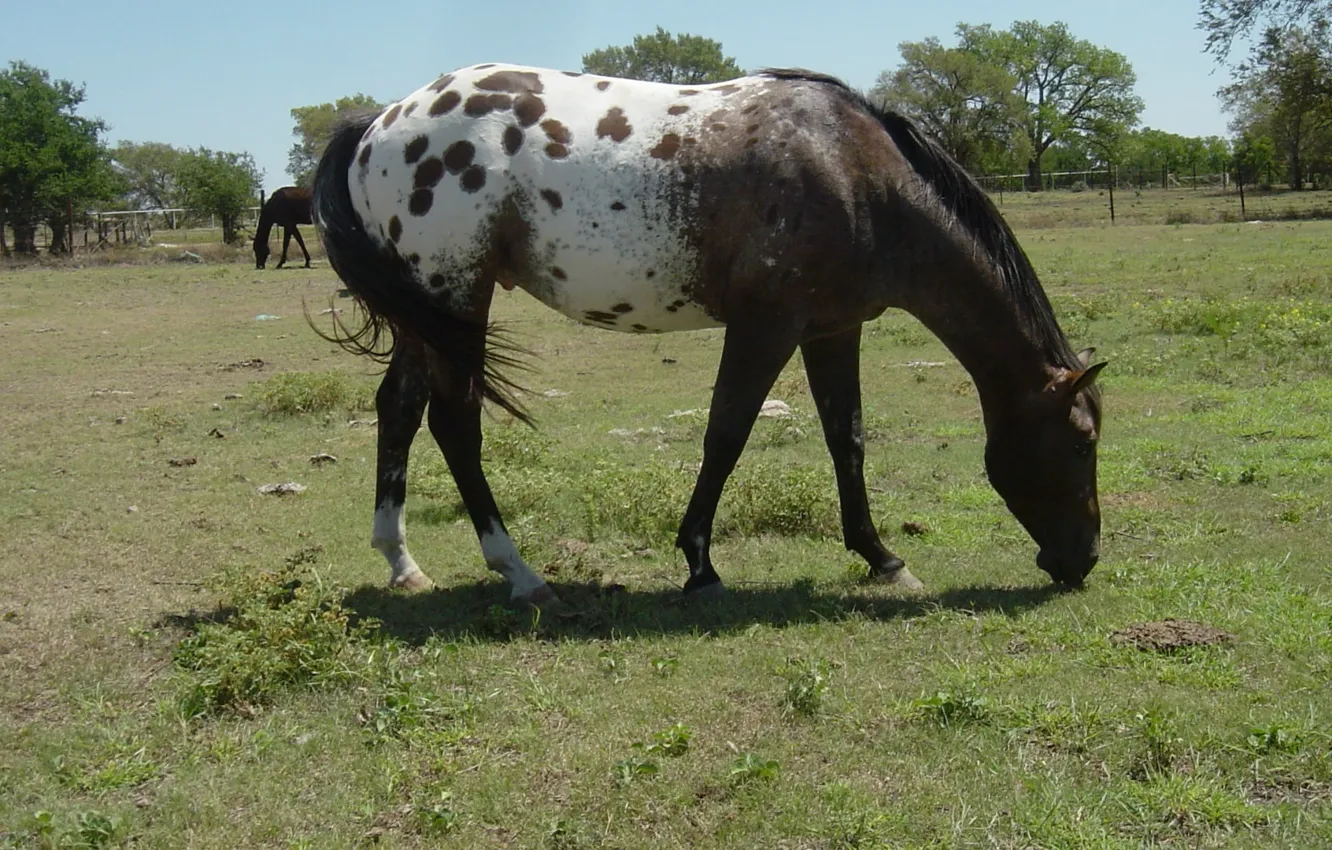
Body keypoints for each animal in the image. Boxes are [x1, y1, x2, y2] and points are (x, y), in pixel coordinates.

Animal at [310, 63, 1106, 611]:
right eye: (1080, 444)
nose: (1084, 561)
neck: (854, 172)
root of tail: (381, 122)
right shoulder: (766, 326)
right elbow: (726, 434)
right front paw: (699, 563)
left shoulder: (832, 328)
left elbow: (845, 439)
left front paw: (881, 557)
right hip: (455, 297)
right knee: (455, 423)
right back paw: (521, 573)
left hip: (426, 312)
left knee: (399, 409)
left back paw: (403, 564)